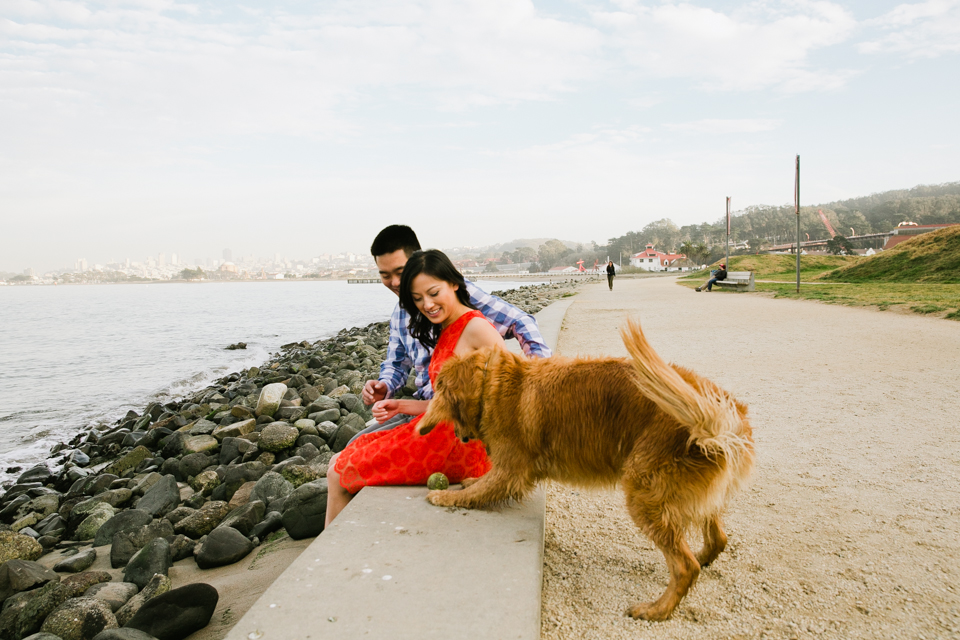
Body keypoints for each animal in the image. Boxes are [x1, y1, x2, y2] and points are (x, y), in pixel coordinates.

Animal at [416, 320, 752, 620]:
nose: (460, 436)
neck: (492, 382)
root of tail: (723, 419)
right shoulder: (508, 470)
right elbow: (481, 482)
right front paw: (469, 480)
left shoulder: (512, 470)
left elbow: (477, 491)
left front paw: (445, 497)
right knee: (717, 540)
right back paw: (700, 559)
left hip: (644, 494)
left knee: (684, 567)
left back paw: (656, 609)